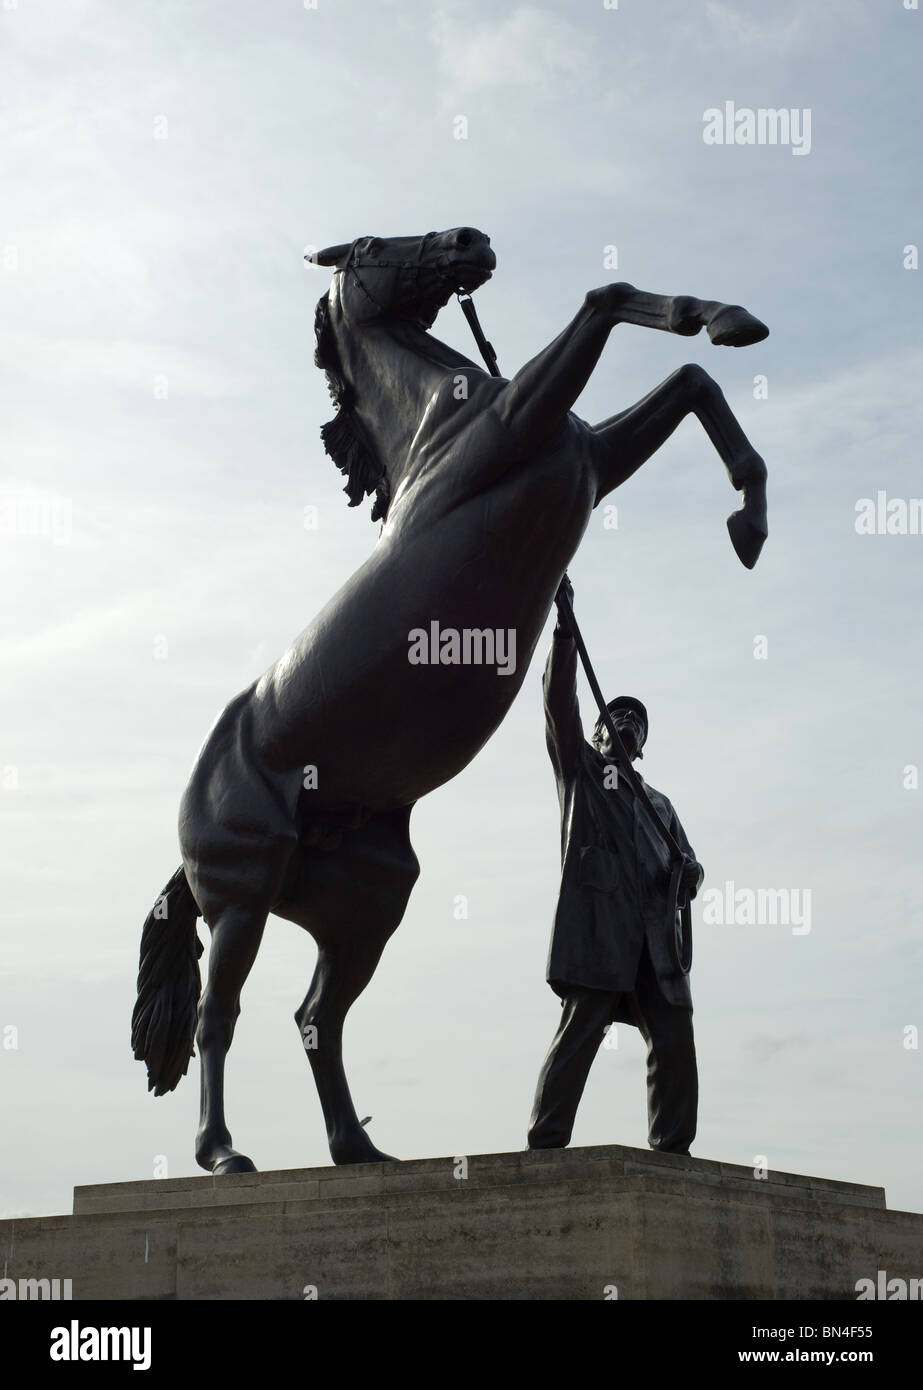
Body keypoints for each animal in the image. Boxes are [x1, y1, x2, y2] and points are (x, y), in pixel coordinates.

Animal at [129, 227, 761, 1173]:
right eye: (369, 244)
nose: (471, 240)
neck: (443, 417)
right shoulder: (525, 425)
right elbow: (605, 300)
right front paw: (721, 327)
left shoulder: (590, 457)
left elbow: (688, 383)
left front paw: (747, 505)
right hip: (241, 898)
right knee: (218, 1016)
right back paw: (223, 1155)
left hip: (363, 911)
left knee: (316, 1019)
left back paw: (358, 1150)